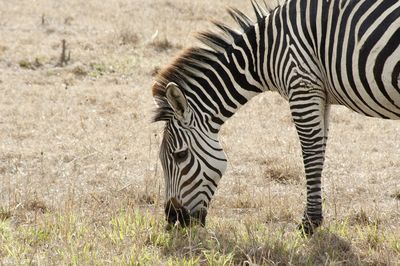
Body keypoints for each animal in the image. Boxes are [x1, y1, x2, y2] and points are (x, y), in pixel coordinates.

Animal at [151, 0, 400, 234]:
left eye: (180, 155)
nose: (173, 219)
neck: (262, 53)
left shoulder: (302, 85)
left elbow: (310, 153)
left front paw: (309, 224)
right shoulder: (321, 94)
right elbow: (320, 152)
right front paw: (313, 218)